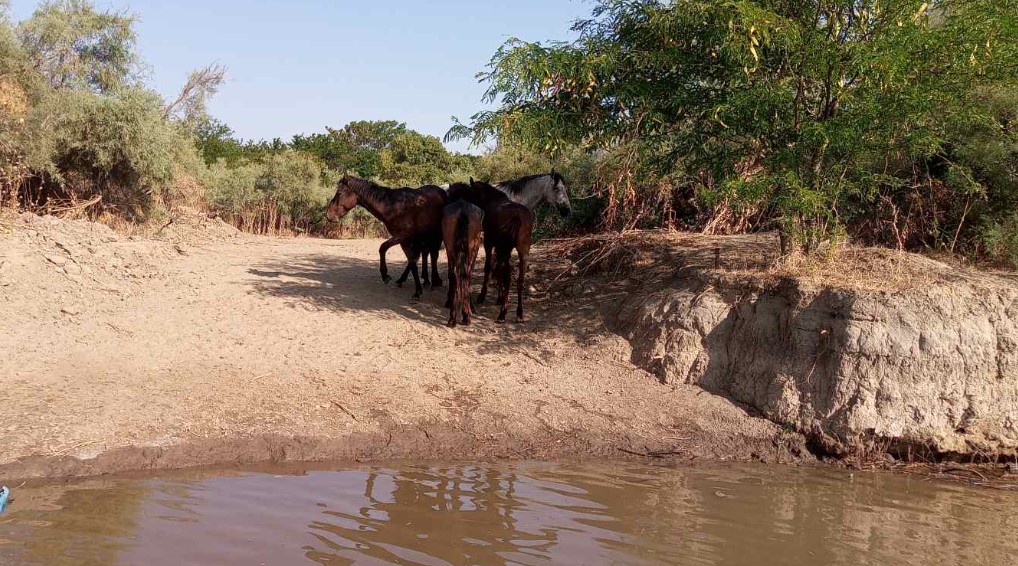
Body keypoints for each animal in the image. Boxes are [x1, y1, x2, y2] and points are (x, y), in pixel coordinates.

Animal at [449, 181, 537, 323]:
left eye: (470, 193)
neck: (492, 199)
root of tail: (517, 215)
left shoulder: (489, 244)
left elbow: (489, 267)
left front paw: (483, 296)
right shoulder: (499, 248)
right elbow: (497, 268)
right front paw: (500, 297)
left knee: (507, 277)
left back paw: (503, 313)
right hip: (522, 251)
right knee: (519, 280)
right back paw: (518, 313)